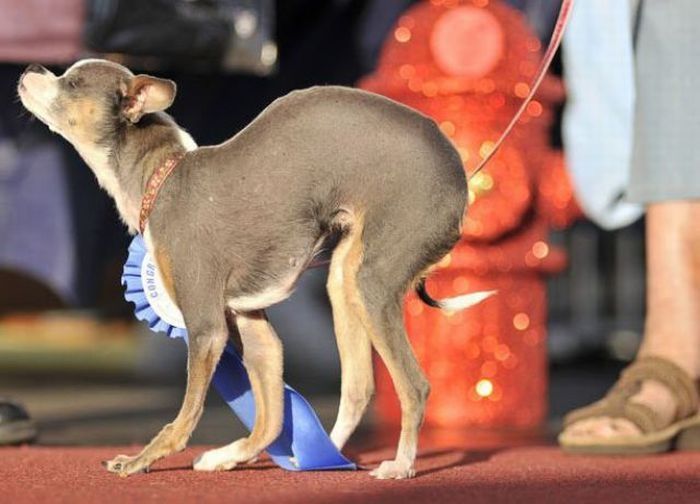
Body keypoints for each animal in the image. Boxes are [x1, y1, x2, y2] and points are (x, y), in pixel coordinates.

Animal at [19, 59, 494, 480]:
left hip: (373, 283)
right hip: (344, 279)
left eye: (72, 82)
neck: (163, 176)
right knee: (358, 387)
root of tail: (459, 174)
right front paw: (229, 456)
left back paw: (400, 465)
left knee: (414, 386)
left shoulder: (207, 328)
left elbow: (185, 416)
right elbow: (270, 420)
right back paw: (322, 455)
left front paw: (142, 459)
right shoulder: (255, 328)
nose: (30, 69)